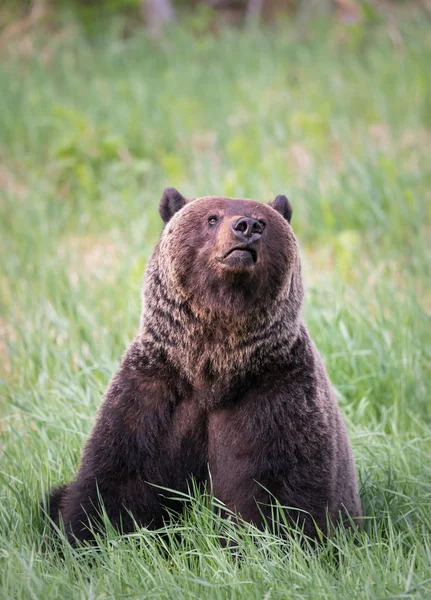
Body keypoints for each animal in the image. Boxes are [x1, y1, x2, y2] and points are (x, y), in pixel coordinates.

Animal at [47, 188, 362, 544]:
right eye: (212, 218)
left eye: (264, 221)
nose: (247, 226)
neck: (213, 368)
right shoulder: (156, 392)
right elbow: (116, 477)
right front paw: (86, 536)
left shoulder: (277, 392)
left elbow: (285, 489)